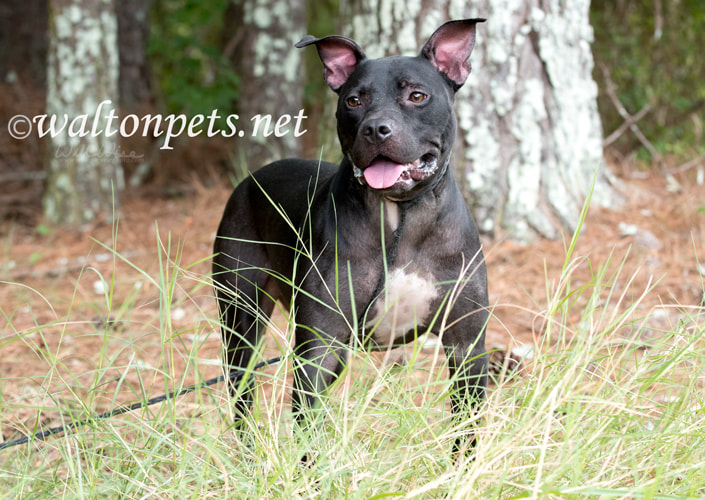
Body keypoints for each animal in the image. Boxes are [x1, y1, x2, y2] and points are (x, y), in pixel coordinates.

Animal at [214, 18, 486, 454]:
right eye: (354, 101)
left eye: (417, 95)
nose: (376, 129)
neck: (400, 216)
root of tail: (249, 181)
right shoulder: (319, 347)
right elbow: (308, 431)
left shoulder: (466, 345)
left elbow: (466, 431)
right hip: (242, 319)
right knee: (242, 395)